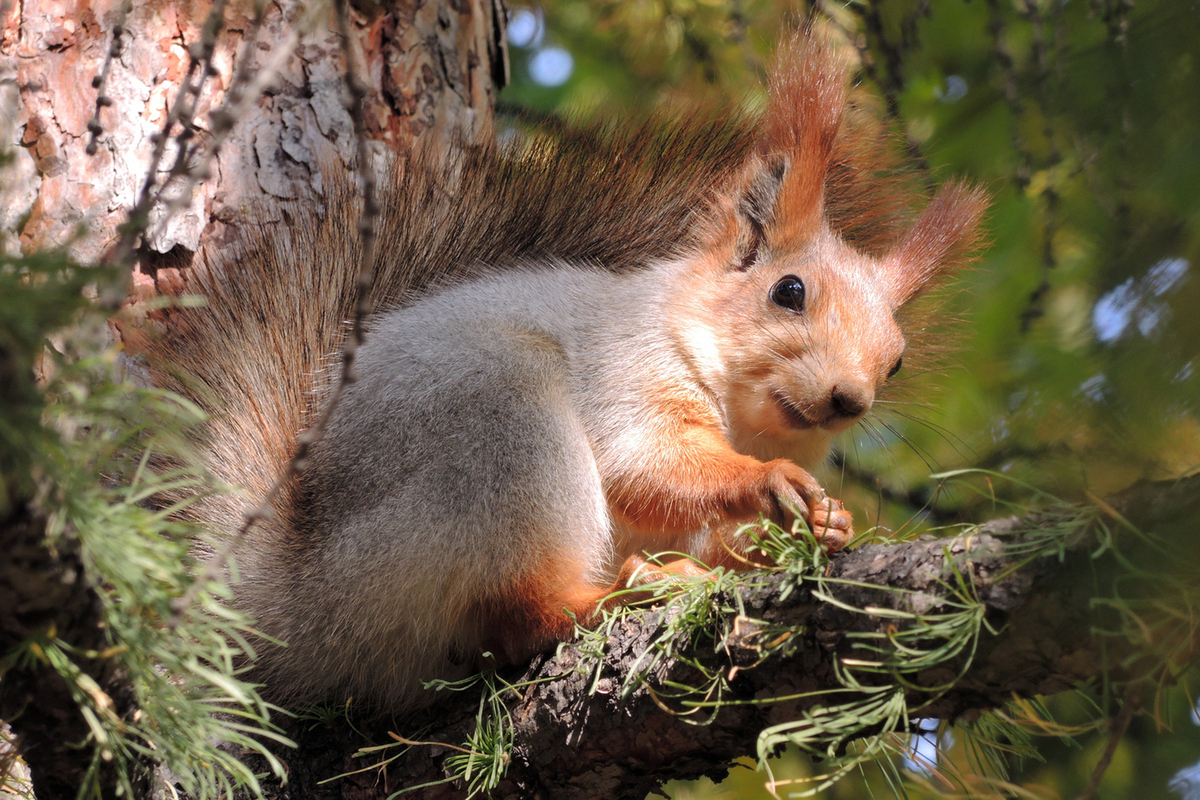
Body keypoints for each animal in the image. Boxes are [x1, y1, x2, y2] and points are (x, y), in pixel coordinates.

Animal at [136, 32, 988, 714]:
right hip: (495, 436)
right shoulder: (626, 367)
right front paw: (768, 482)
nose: (850, 399)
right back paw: (624, 590)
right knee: (516, 616)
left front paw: (827, 525)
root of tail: (297, 618)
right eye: (789, 292)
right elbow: (645, 465)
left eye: (897, 358)